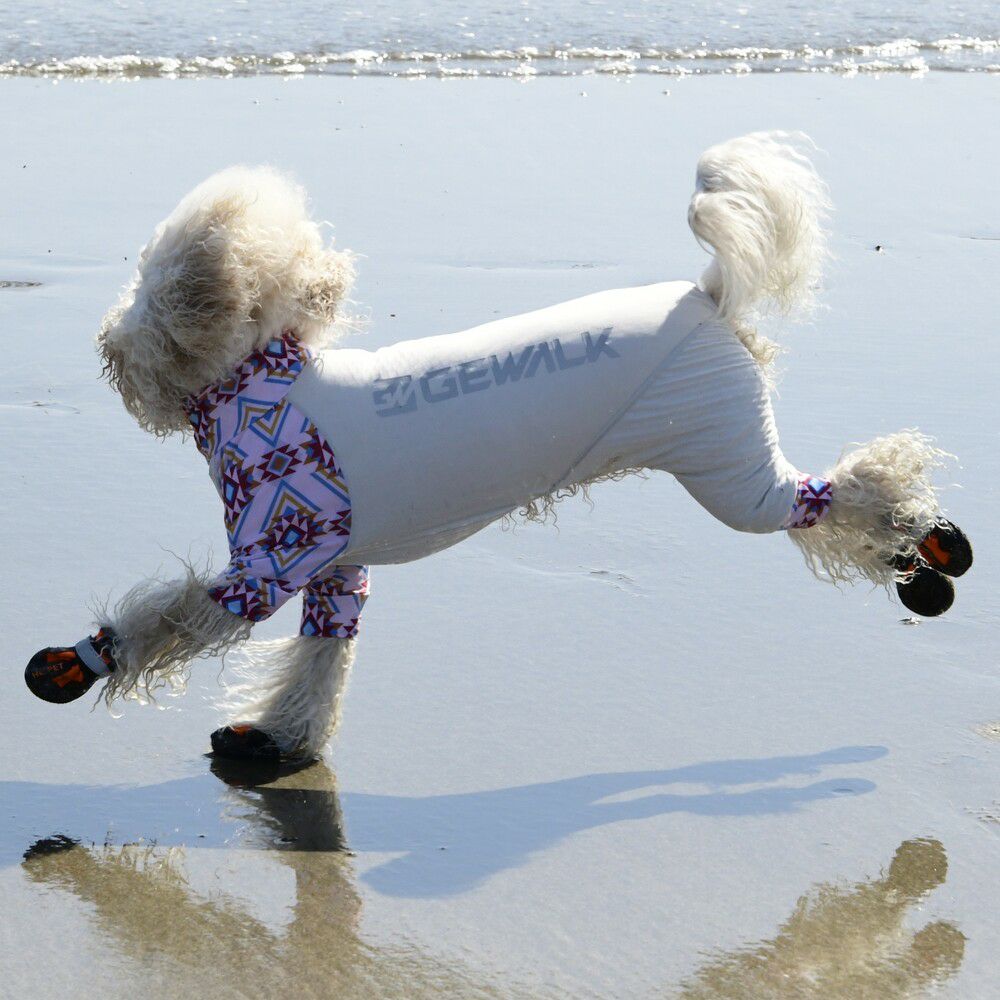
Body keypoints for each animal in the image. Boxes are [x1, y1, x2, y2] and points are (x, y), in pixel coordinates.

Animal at [25, 132, 972, 761]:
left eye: (150, 293)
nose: (106, 340)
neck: (265, 385)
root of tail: (707, 297)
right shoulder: (336, 571)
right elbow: (322, 659)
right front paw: (278, 737)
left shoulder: (274, 556)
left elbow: (171, 620)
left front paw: (74, 664)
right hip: (726, 453)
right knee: (834, 503)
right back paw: (928, 564)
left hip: (727, 465)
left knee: (845, 492)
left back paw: (932, 546)